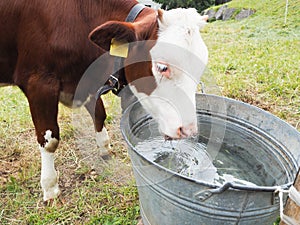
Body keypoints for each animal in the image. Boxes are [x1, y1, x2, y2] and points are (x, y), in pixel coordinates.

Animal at [0, 0, 209, 202]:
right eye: (163, 67)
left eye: (201, 67)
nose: (189, 130)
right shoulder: (39, 82)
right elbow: (50, 140)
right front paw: (50, 187)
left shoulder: (86, 80)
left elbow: (99, 114)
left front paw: (105, 149)